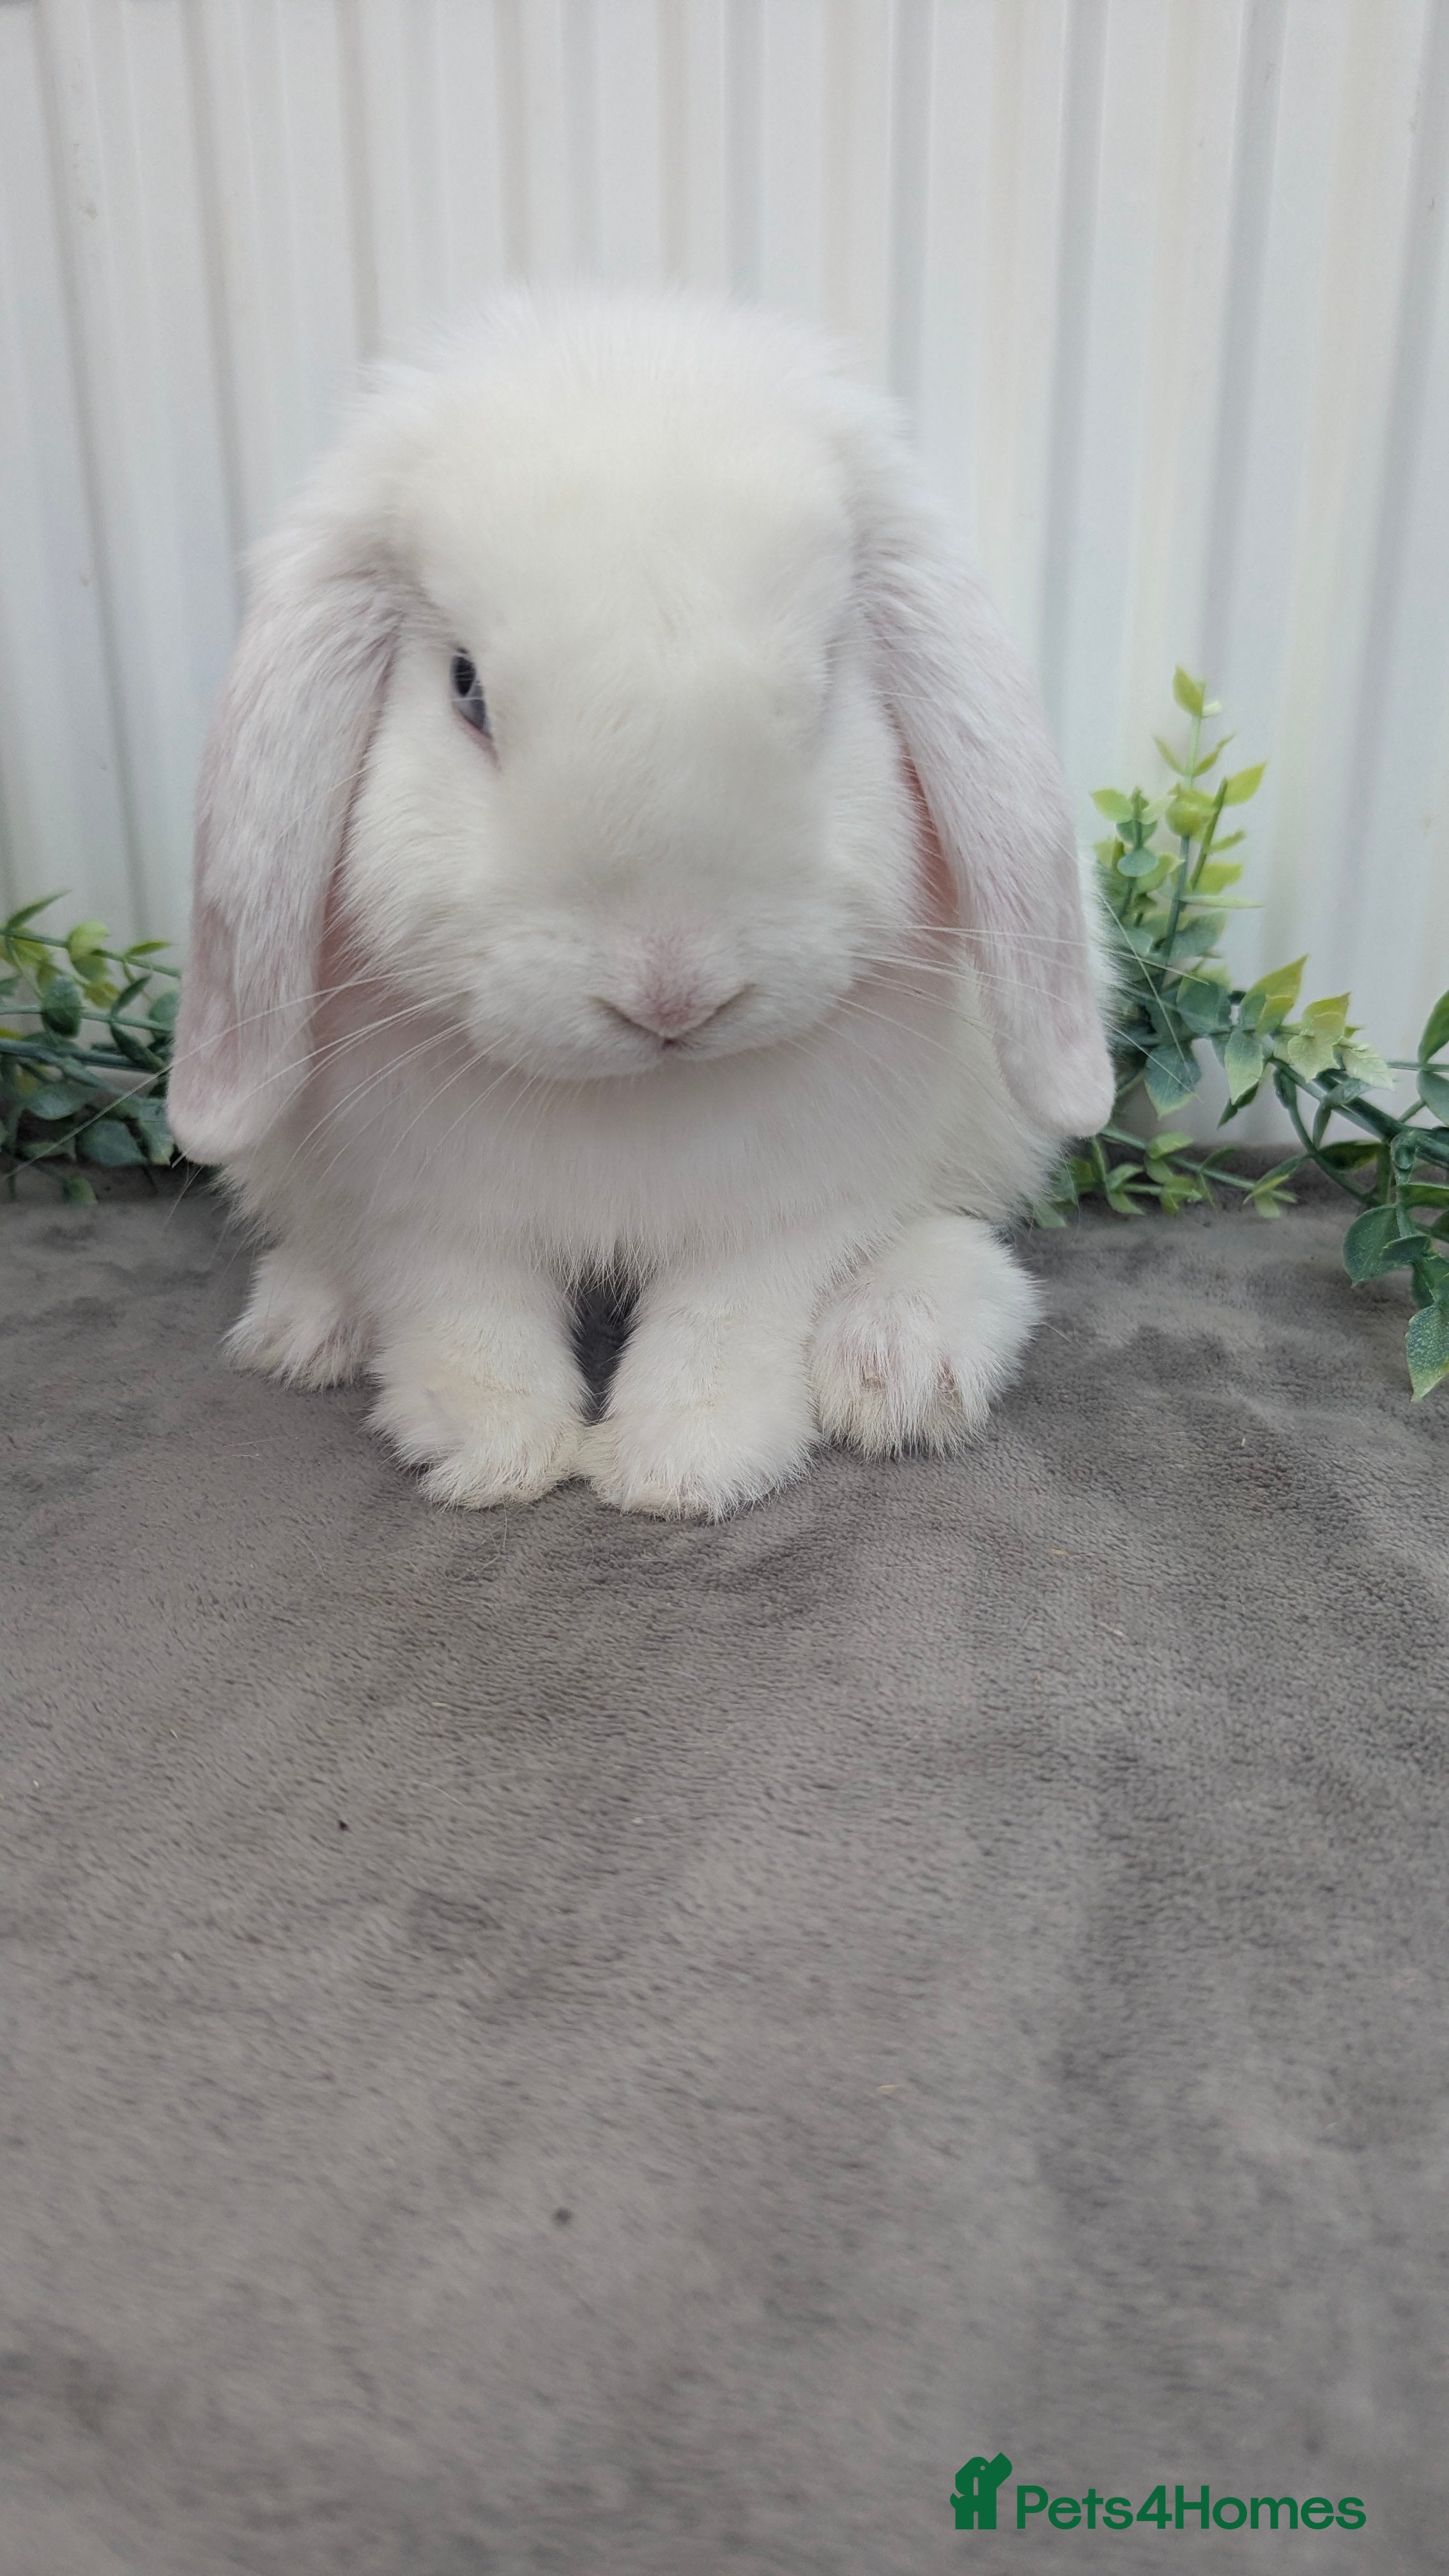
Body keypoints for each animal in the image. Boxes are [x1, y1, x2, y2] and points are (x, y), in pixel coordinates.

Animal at [169, 286, 1113, 1520]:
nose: (672, 992)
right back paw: (305, 1327)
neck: (633, 1099)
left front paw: (682, 1470)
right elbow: (469, 1316)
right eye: (466, 689)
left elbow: (725, 1322)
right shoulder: (425, 1207)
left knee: (951, 1238)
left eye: (823, 682)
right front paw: (496, 1453)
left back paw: (902, 1361)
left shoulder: (784, 1207)